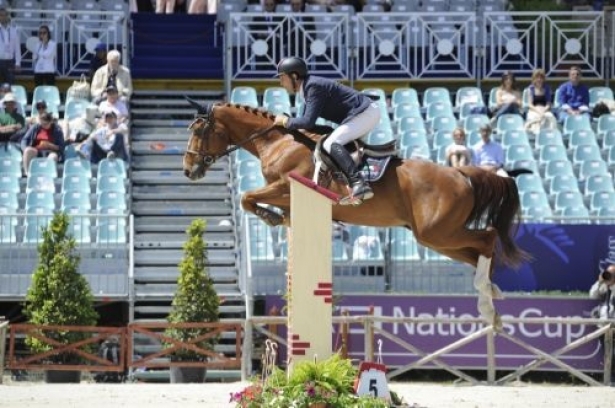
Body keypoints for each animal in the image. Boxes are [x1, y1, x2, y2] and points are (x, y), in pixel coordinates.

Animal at [182, 102, 528, 328]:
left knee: (488, 239)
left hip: (437, 232)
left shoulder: (287, 186)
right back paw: (491, 296)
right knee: (477, 253)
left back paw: (487, 303)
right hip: (434, 238)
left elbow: (246, 197)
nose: (189, 170)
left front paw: (271, 217)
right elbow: (252, 200)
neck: (279, 142)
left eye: (199, 130)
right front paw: (275, 218)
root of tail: (462, 174)